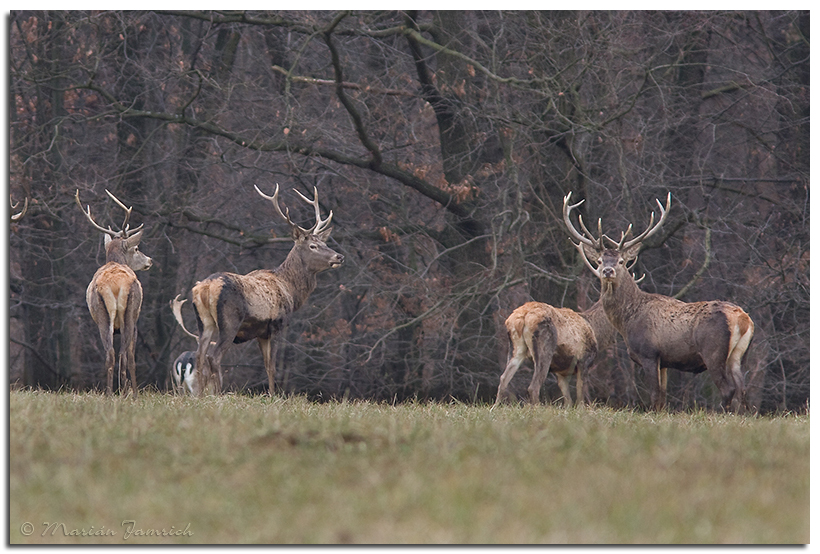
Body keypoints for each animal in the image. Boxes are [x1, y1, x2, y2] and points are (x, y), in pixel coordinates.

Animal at [74, 189, 153, 392]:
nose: (150, 260)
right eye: (136, 248)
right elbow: (127, 355)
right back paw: (132, 393)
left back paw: (110, 393)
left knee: (110, 353)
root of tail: (116, 285)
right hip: (130, 312)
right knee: (126, 354)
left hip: (101, 313)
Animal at [183, 184, 342, 392]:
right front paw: (274, 395)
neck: (291, 291)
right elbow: (272, 366)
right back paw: (217, 393)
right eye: (313, 246)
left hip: (204, 322)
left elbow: (266, 365)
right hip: (229, 321)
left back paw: (201, 394)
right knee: (214, 357)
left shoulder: (260, 333)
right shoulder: (277, 325)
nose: (339, 256)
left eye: (325, 242)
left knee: (200, 356)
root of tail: (206, 288)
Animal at [564, 190, 756, 410]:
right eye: (599, 260)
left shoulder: (649, 353)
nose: (607, 271)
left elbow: (655, 395)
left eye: (621, 261)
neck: (627, 320)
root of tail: (742, 319)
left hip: (713, 351)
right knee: (742, 389)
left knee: (728, 389)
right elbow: (663, 396)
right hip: (739, 355)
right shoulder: (665, 362)